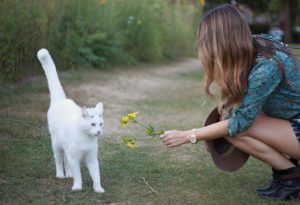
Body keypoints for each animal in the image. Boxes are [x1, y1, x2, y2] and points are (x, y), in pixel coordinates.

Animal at [37, 48, 105, 192]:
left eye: (101, 124)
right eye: (93, 124)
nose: (98, 132)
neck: (86, 139)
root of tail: (61, 100)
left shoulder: (92, 159)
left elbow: (96, 175)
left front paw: (98, 188)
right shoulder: (75, 158)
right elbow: (78, 174)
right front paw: (77, 187)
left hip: (66, 148)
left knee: (66, 161)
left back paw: (68, 174)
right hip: (56, 145)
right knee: (59, 160)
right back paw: (60, 175)